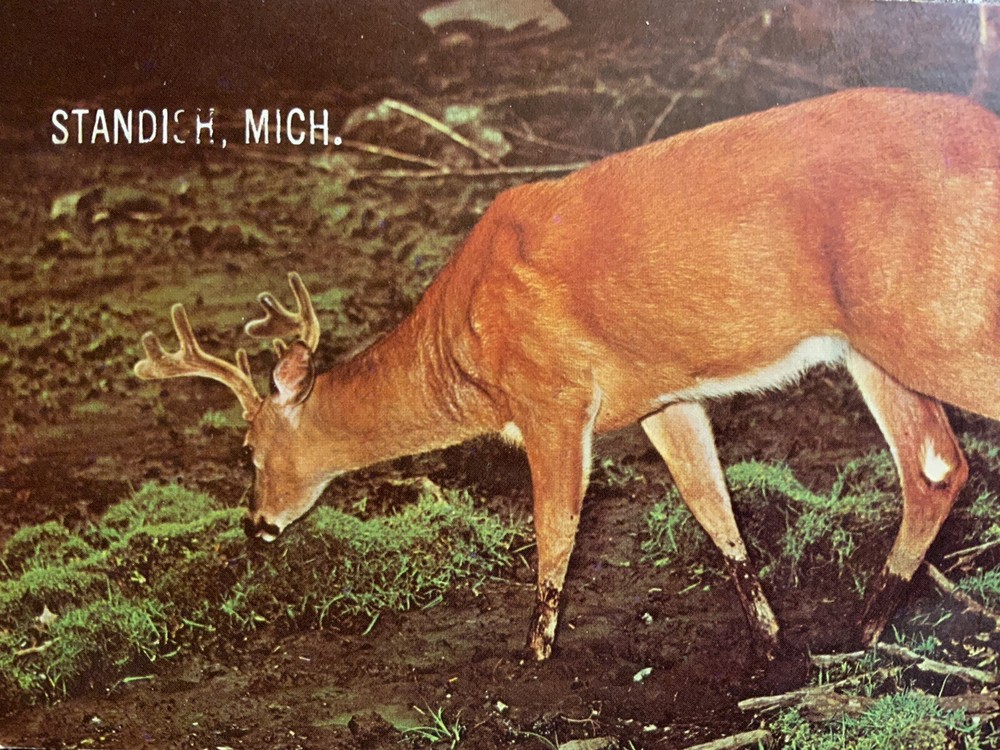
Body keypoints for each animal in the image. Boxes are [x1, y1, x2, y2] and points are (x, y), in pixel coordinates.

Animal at [135, 87, 1000, 662]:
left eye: (249, 449)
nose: (256, 524)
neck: (462, 348)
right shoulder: (661, 394)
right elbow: (713, 511)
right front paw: (770, 641)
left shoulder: (551, 396)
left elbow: (555, 532)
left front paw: (534, 652)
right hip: (880, 343)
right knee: (937, 467)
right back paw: (865, 628)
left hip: (934, 321)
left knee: (944, 454)